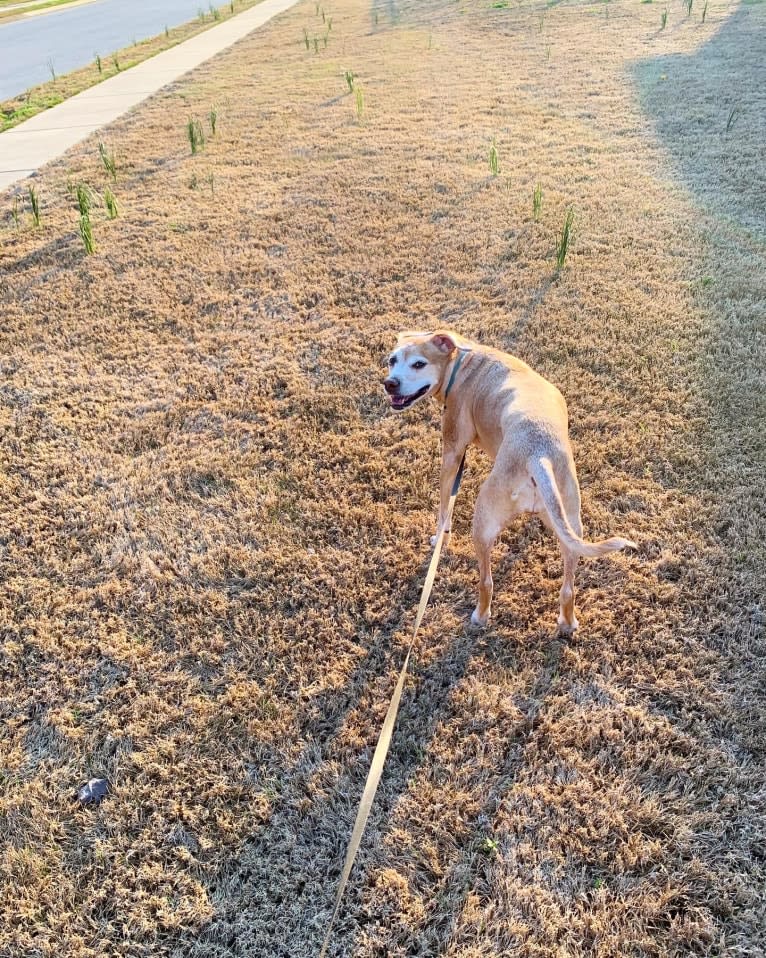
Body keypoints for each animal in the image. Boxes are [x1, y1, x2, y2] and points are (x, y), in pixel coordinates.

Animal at [384, 330, 636, 632]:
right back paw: (567, 623)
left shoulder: (453, 452)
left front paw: (439, 537)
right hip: (572, 524)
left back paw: (480, 616)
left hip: (483, 522)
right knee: (568, 587)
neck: (461, 362)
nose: (389, 383)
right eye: (392, 360)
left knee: (486, 581)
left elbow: (444, 506)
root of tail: (538, 455)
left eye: (419, 364)